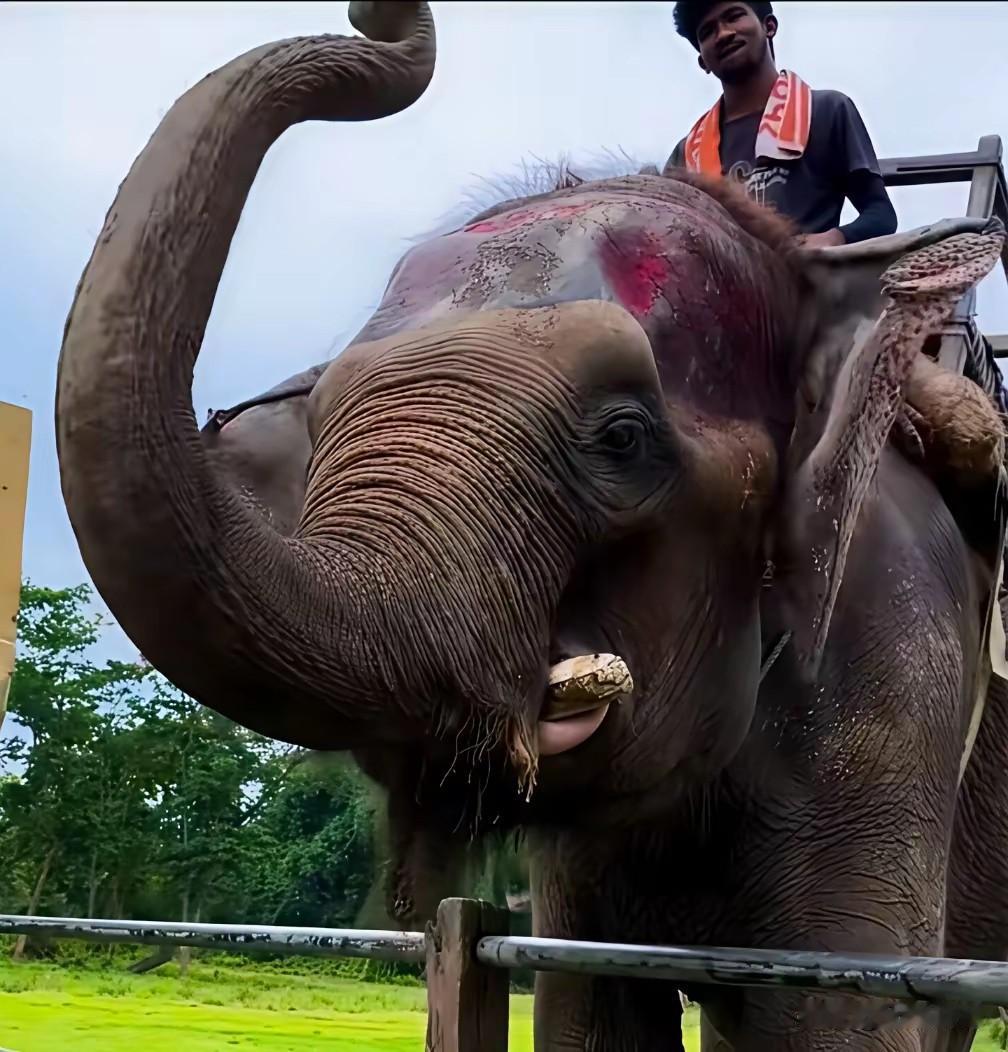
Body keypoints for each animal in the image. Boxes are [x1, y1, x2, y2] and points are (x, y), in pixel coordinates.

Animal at [54, 2, 1008, 1049]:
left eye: (623, 438)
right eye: (314, 430)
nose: (378, 17)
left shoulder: (896, 659)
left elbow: (837, 1016)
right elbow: (588, 1006)